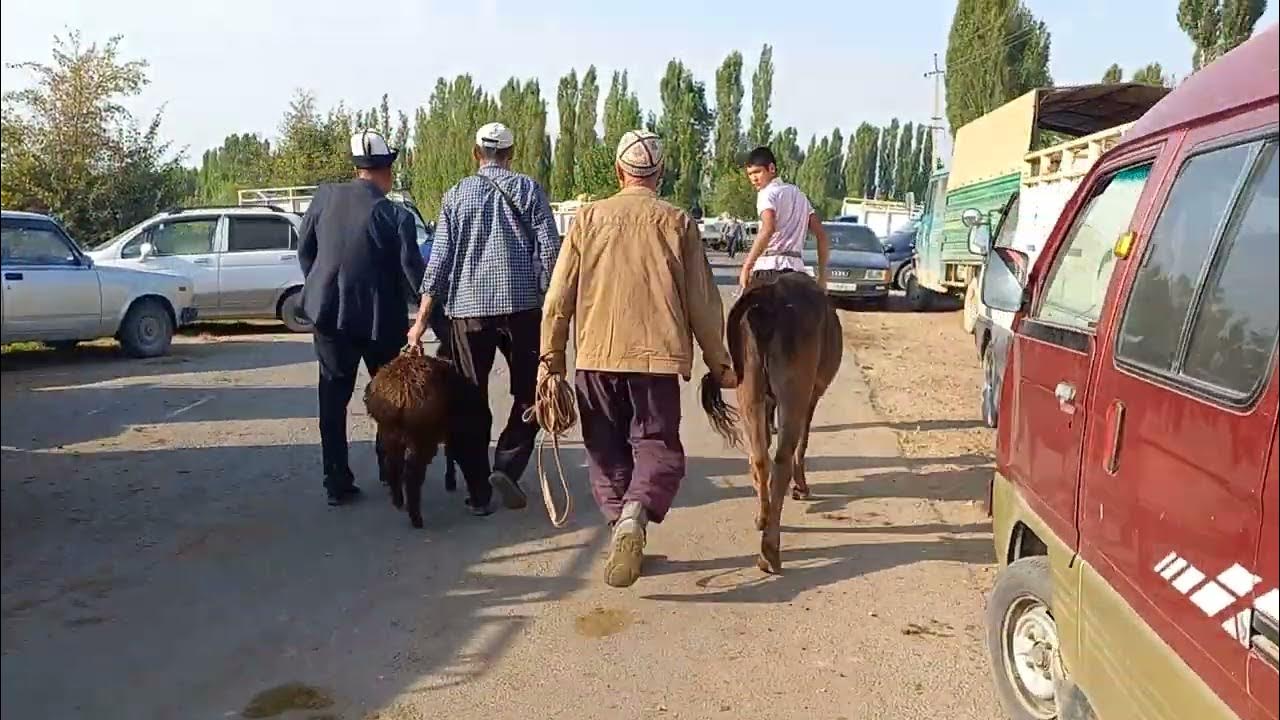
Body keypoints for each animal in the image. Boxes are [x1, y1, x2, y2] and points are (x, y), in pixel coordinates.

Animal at [363, 348, 453, 527]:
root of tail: (399, 394)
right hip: (422, 437)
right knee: (412, 475)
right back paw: (416, 518)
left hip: (390, 433)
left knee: (393, 464)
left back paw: (398, 501)